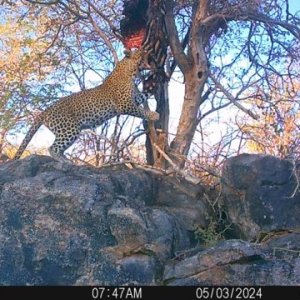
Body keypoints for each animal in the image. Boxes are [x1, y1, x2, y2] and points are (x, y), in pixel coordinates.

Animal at [13, 48, 159, 162]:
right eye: (141, 51)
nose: (148, 49)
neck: (130, 71)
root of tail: (44, 111)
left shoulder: (135, 98)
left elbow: (144, 95)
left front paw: (155, 83)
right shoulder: (125, 104)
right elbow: (140, 111)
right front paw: (153, 115)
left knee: (59, 148)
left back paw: (67, 160)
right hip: (69, 129)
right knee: (53, 148)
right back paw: (64, 161)